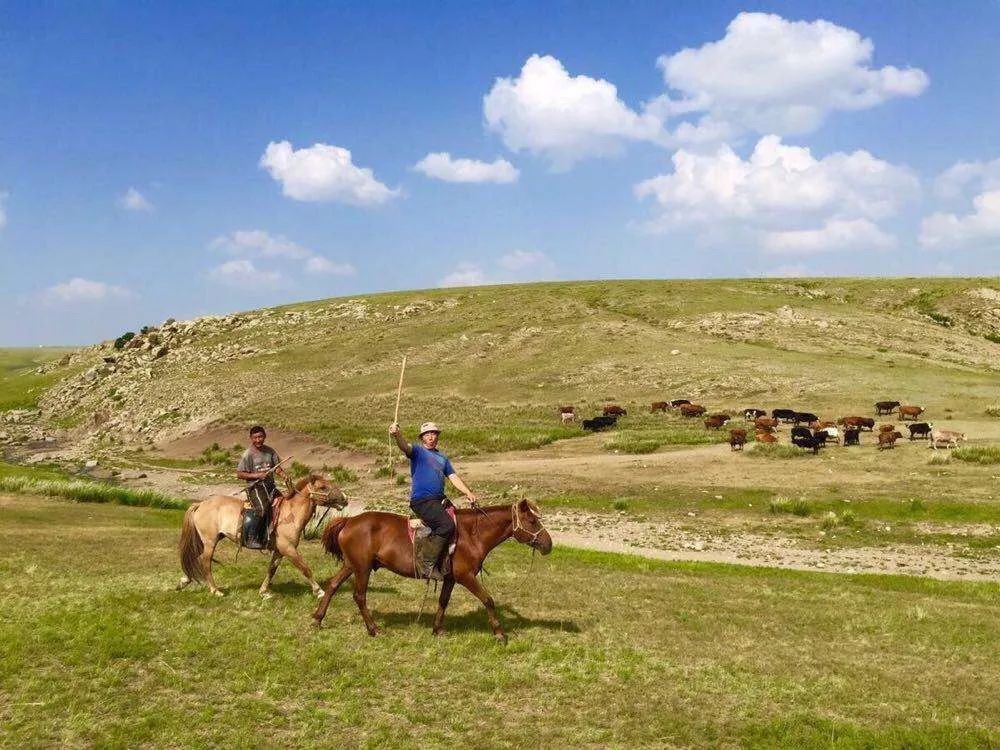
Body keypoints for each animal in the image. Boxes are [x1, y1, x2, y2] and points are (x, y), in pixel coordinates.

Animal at [179, 476, 348, 600]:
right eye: (323, 487)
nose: (345, 499)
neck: (290, 513)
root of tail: (200, 504)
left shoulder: (279, 551)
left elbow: (271, 570)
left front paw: (263, 591)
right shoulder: (289, 549)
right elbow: (305, 568)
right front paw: (319, 591)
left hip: (208, 540)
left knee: (193, 557)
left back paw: (184, 581)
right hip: (210, 542)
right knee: (205, 562)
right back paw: (215, 590)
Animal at [310, 502, 552, 644]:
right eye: (532, 520)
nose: (548, 544)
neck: (471, 534)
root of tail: (349, 520)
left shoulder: (451, 579)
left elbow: (443, 602)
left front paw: (437, 630)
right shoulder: (466, 577)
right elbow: (488, 599)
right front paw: (499, 633)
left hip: (351, 565)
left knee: (332, 586)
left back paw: (317, 620)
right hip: (362, 568)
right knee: (359, 596)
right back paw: (373, 629)